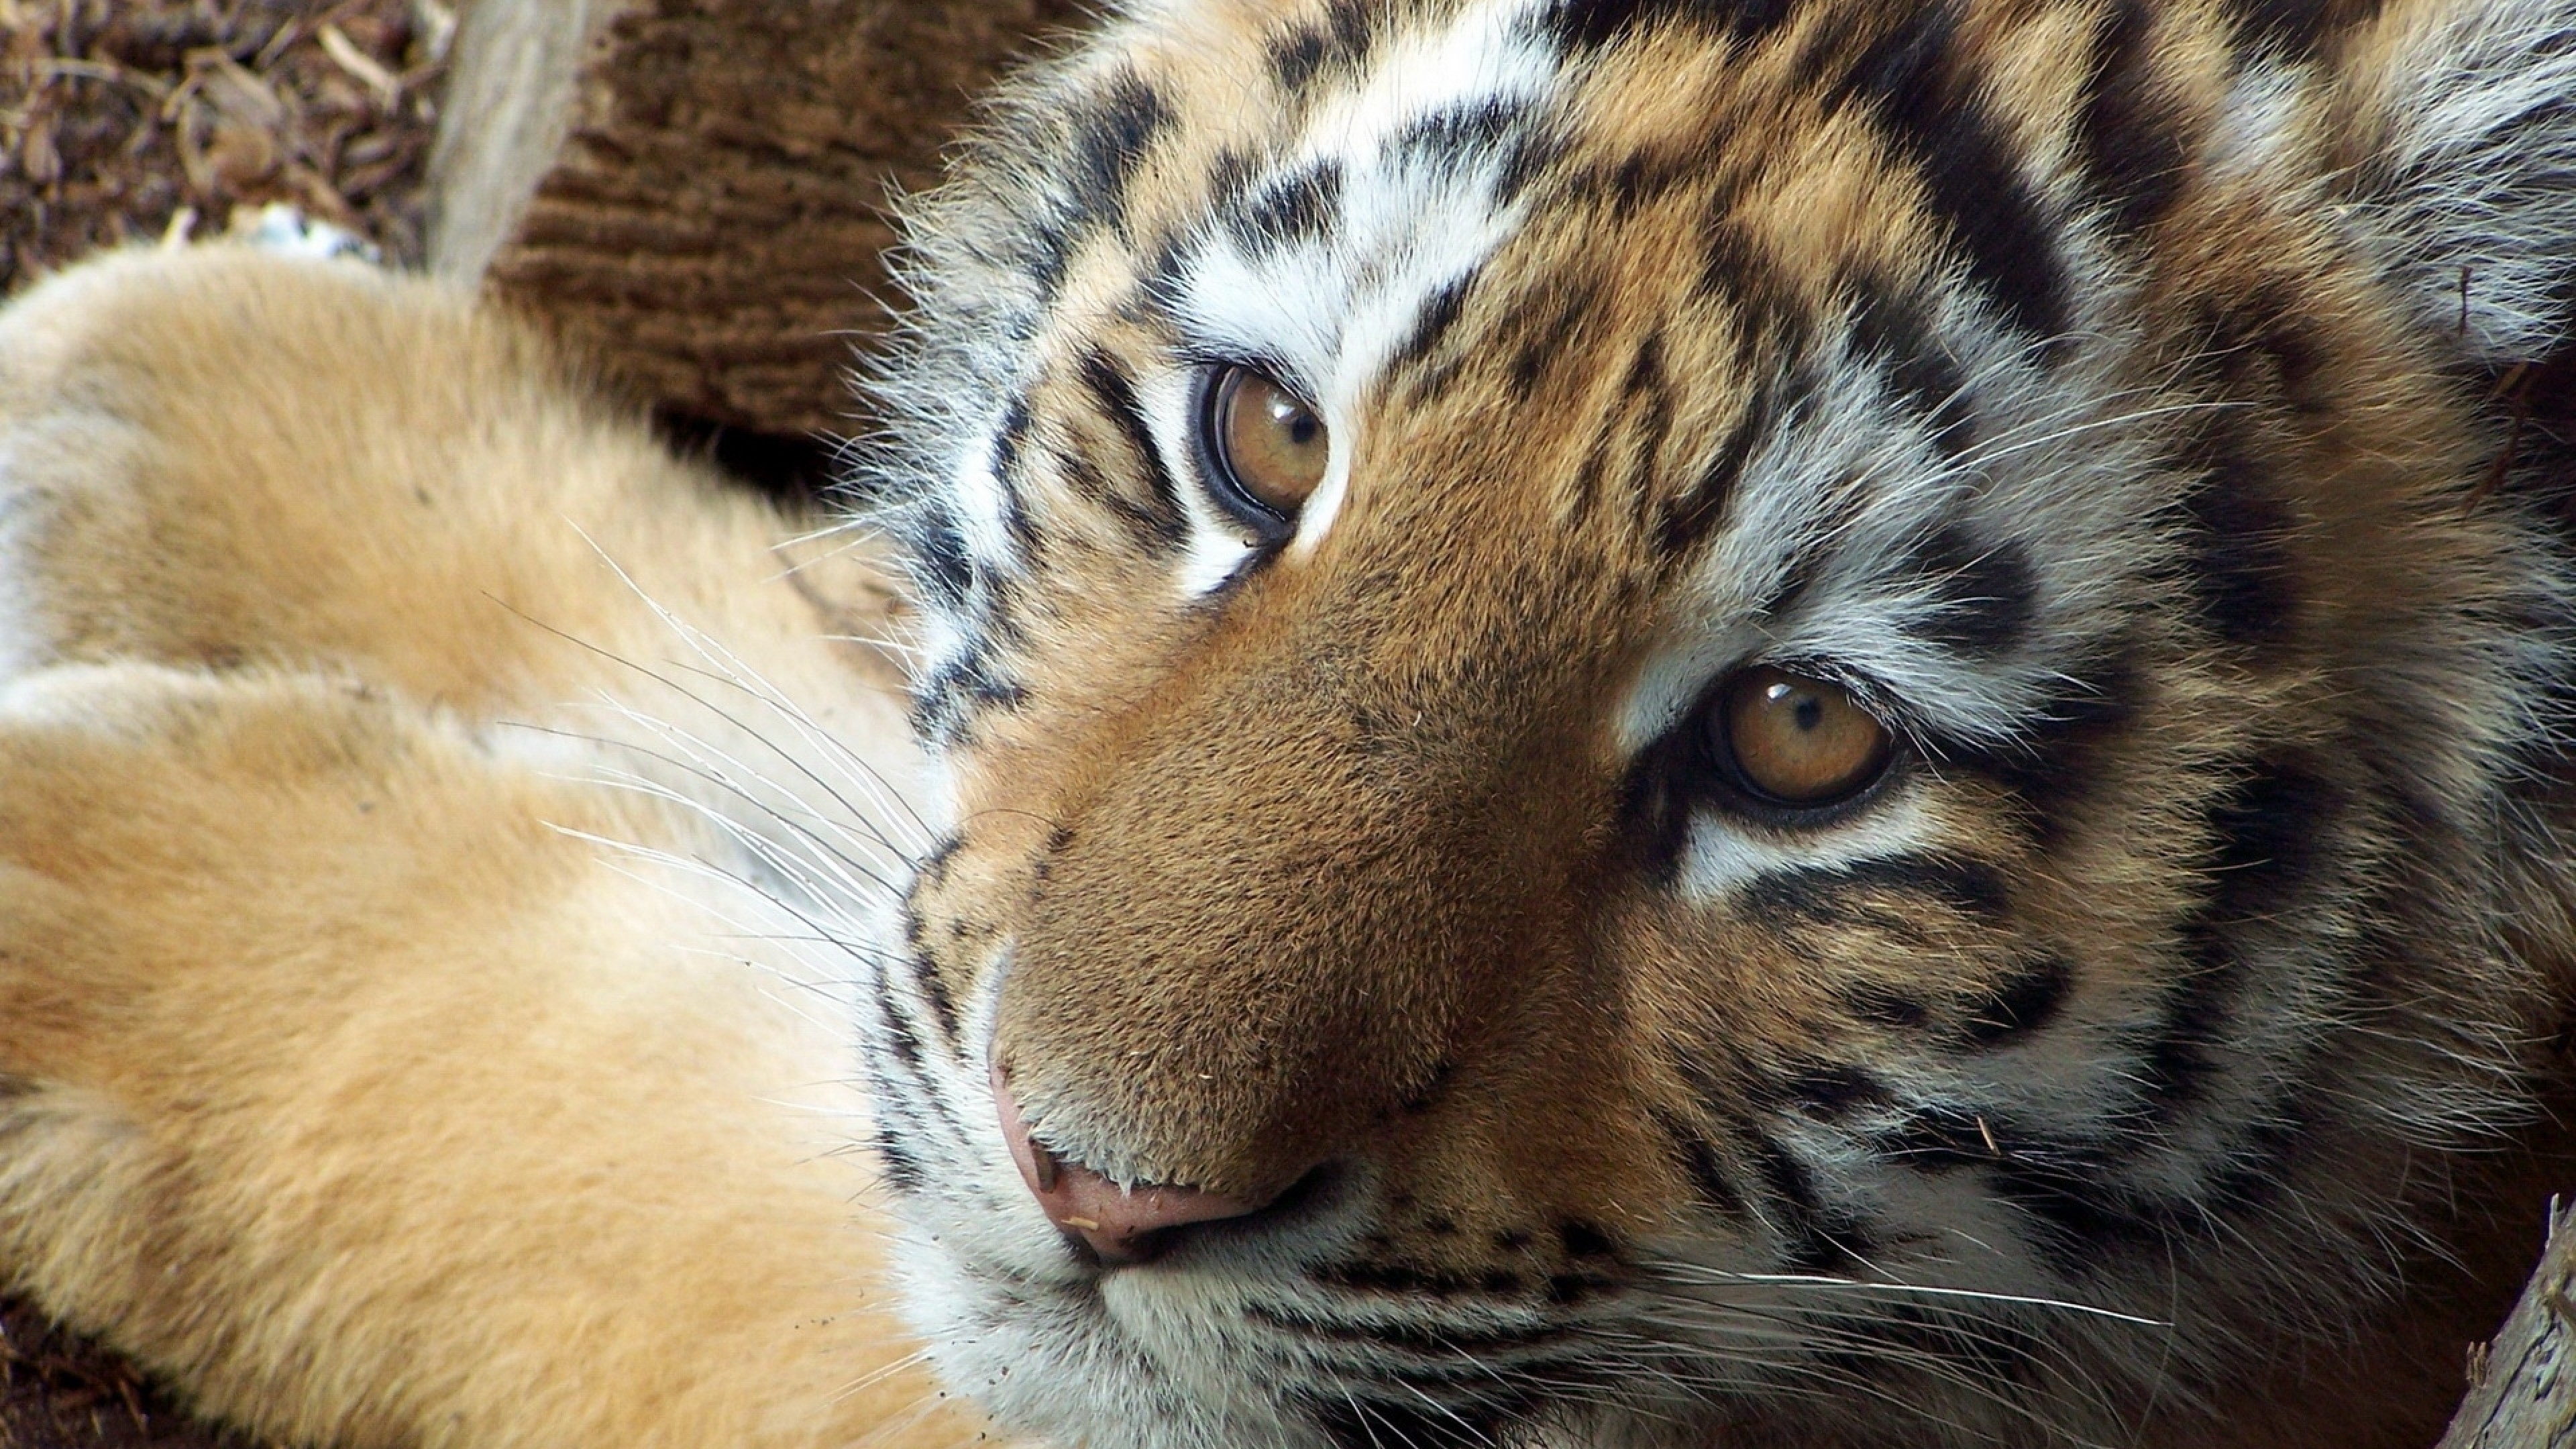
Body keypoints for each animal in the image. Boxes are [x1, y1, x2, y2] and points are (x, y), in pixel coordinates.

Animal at [1, 0, 2574, 1445]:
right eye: (1257, 438)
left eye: (1803, 741)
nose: (1092, 1187)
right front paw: (178, 414)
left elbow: (599, 1136)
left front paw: (92, 894)